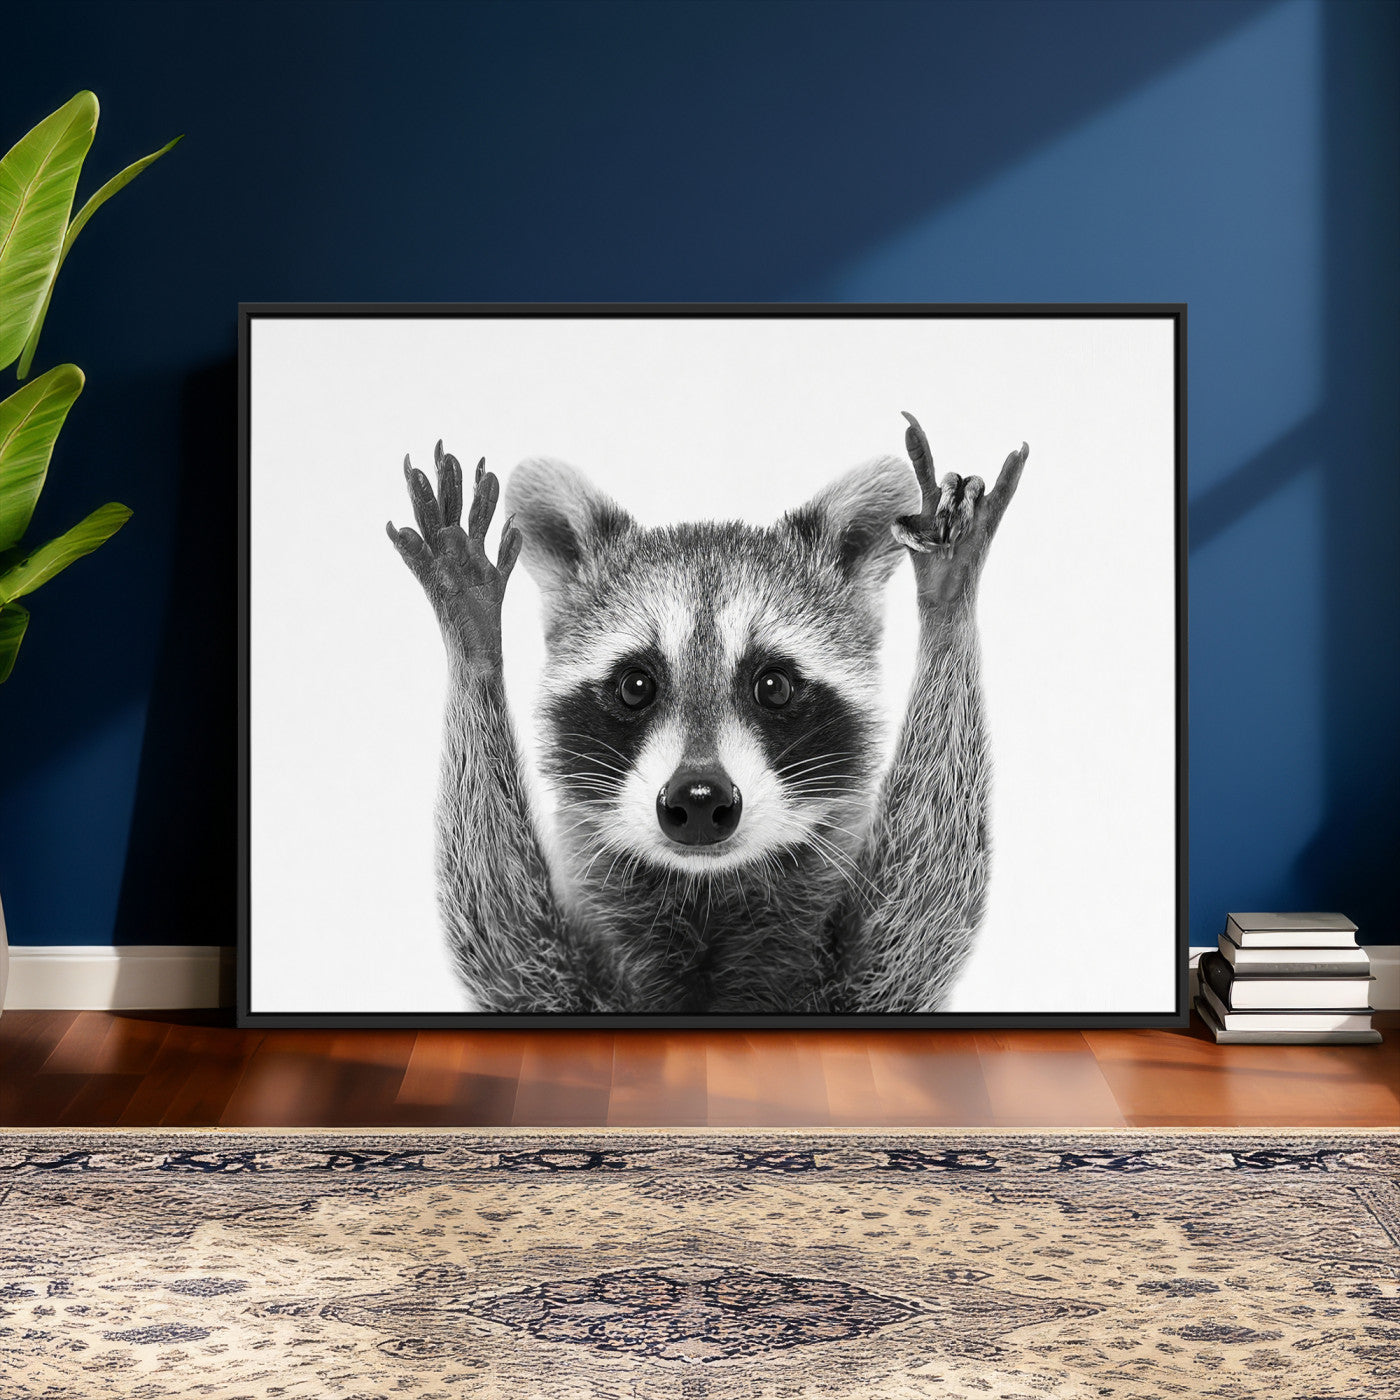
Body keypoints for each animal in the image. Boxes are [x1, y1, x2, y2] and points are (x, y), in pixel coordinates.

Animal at [386, 414, 1027, 1014]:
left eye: (773, 686)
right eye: (635, 686)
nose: (698, 799)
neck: (705, 896)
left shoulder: (866, 982)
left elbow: (924, 907)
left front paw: (948, 599)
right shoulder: (554, 982)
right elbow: (500, 938)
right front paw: (473, 636)